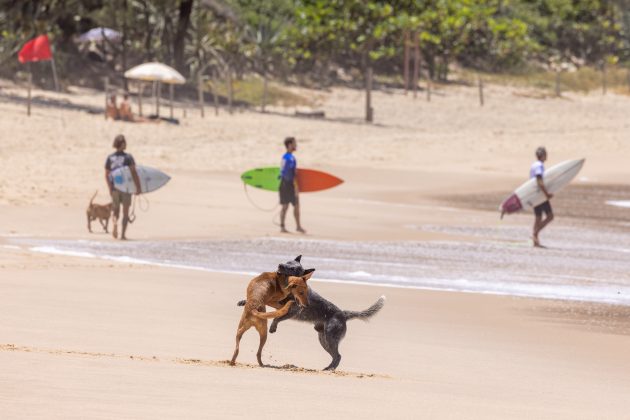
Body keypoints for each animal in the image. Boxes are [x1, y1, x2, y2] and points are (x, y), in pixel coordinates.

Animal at [237, 288, 386, 370]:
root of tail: (343, 314)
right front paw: (243, 301)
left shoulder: (293, 311)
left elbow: (277, 319)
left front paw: (273, 327)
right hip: (323, 340)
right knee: (335, 356)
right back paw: (329, 368)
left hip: (330, 338)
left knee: (338, 356)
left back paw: (330, 369)